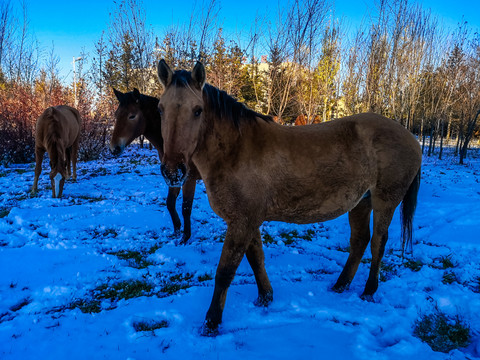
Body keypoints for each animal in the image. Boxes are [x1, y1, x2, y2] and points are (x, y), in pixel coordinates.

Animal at [110, 88, 199, 243]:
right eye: (116, 115)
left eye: (132, 116)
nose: (114, 148)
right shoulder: (173, 176)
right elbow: (170, 203)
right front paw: (177, 229)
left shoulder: (189, 178)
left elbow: (186, 207)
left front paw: (185, 238)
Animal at [157, 60, 420, 334]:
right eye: (160, 109)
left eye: (197, 110)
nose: (172, 171)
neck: (235, 151)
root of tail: (412, 138)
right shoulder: (247, 221)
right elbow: (256, 259)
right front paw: (265, 298)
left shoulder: (242, 222)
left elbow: (225, 271)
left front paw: (211, 323)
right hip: (361, 203)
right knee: (359, 241)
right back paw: (340, 286)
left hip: (384, 202)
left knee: (378, 242)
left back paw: (368, 291)